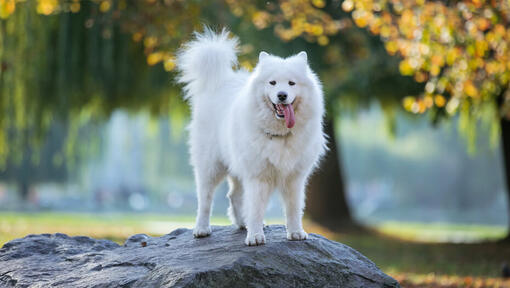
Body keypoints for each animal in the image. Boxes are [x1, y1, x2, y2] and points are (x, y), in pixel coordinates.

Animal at [177, 28, 324, 245]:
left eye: (291, 83)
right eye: (272, 83)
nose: (282, 95)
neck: (280, 134)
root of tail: (221, 81)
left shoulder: (294, 178)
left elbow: (294, 208)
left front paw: (296, 232)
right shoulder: (257, 176)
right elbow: (255, 208)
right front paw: (255, 236)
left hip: (237, 166)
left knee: (234, 196)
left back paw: (241, 223)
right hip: (211, 166)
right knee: (205, 199)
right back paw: (202, 229)